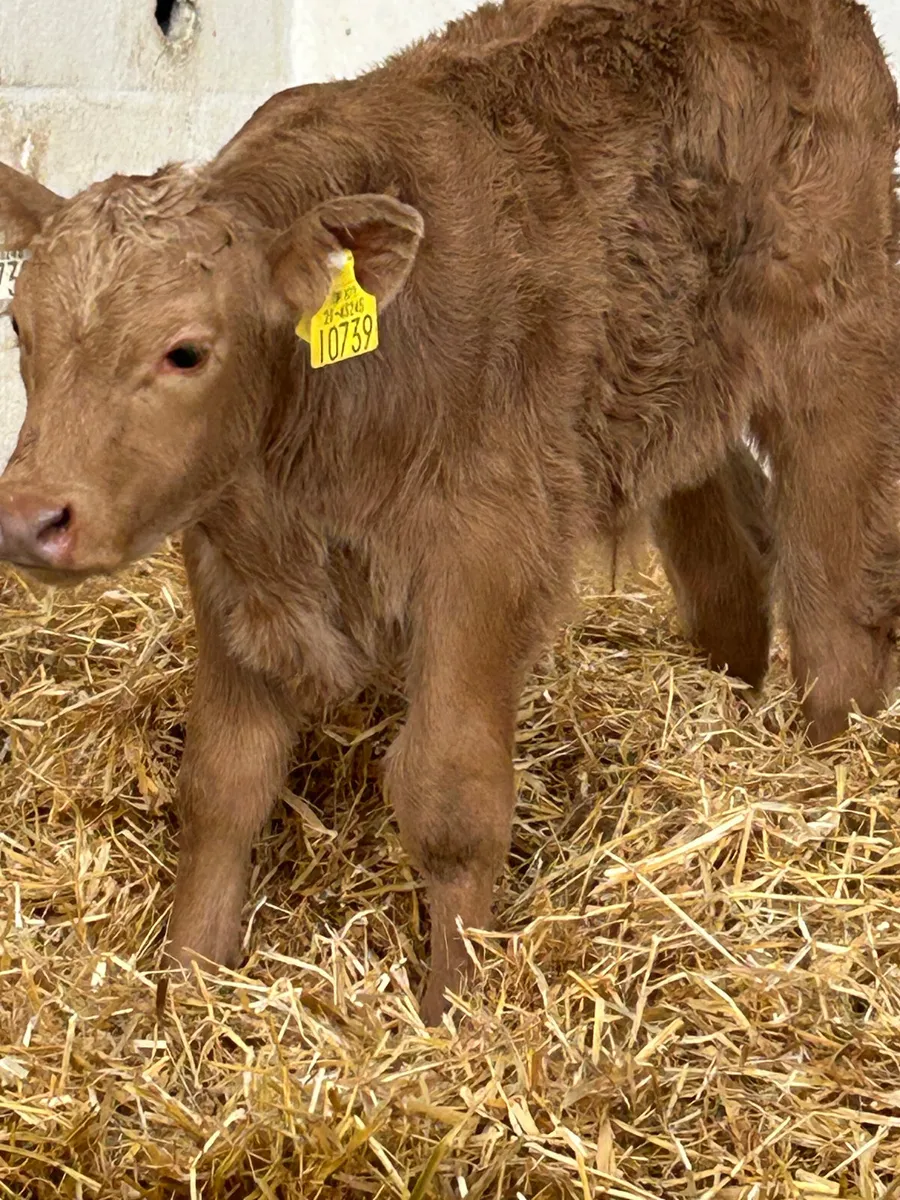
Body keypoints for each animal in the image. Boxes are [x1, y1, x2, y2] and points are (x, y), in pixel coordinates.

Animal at [0, 0, 898, 1023]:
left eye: (185, 351)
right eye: (20, 327)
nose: (31, 516)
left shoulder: (485, 546)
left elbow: (450, 795)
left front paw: (452, 1014)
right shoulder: (234, 562)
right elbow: (221, 786)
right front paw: (187, 995)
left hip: (836, 355)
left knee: (837, 617)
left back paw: (823, 782)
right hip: (674, 398)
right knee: (731, 580)